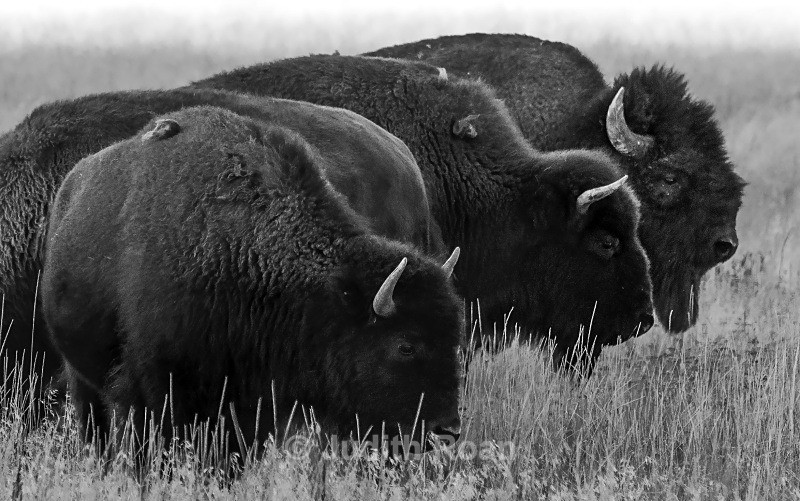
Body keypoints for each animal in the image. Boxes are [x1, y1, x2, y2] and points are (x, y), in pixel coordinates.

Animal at [41, 106, 465, 453]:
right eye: (405, 345)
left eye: (454, 340)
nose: (447, 431)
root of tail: (71, 187)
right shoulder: (153, 390)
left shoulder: (252, 405)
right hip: (83, 382)